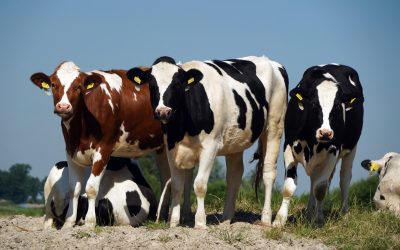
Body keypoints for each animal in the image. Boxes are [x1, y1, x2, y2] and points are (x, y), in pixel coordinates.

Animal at [30, 62, 175, 229]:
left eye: (78, 86)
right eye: (53, 84)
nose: (64, 107)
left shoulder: (103, 150)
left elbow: (91, 188)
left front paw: (89, 223)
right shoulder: (71, 152)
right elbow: (74, 188)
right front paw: (68, 223)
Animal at [126, 55, 286, 228]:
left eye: (176, 84)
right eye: (152, 85)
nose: (163, 112)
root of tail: (270, 61)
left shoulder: (210, 146)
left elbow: (200, 184)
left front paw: (200, 222)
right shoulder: (171, 147)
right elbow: (177, 185)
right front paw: (174, 222)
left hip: (274, 126)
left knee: (269, 172)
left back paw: (266, 219)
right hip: (235, 142)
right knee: (234, 175)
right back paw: (226, 219)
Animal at [274, 63, 364, 227]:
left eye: (337, 106)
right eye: (315, 104)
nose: (325, 133)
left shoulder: (333, 152)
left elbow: (321, 189)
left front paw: (319, 221)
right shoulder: (288, 147)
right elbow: (289, 187)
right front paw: (279, 220)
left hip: (351, 149)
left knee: (344, 179)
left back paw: (342, 214)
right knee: (314, 180)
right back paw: (310, 213)